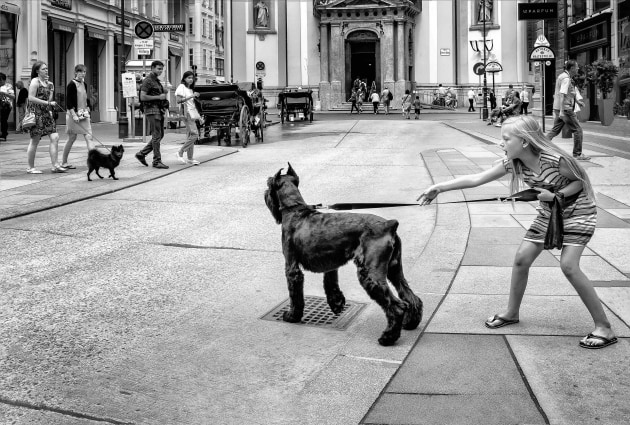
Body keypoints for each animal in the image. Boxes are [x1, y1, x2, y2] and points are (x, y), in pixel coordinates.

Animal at [264, 163, 422, 344]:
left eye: (268, 183)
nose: (265, 193)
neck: (295, 209)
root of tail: (390, 224)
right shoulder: (330, 261)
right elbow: (330, 282)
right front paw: (337, 303)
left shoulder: (292, 267)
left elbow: (295, 294)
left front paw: (292, 316)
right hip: (394, 269)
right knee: (410, 296)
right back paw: (410, 323)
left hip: (370, 273)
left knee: (397, 306)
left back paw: (388, 337)